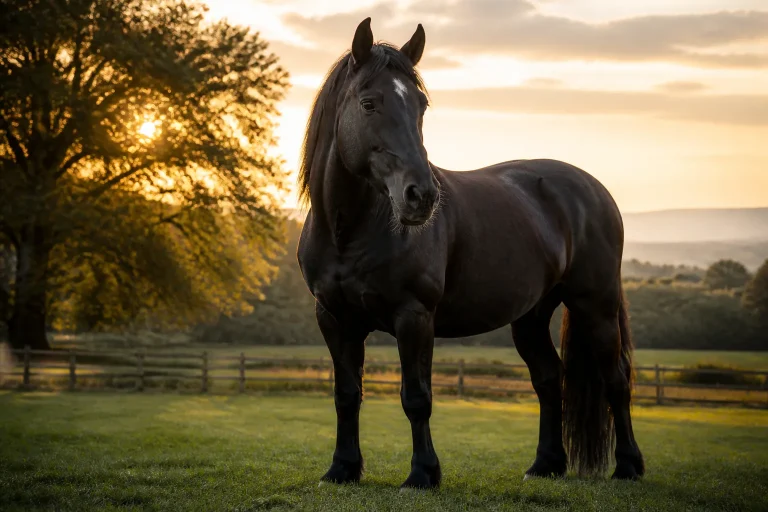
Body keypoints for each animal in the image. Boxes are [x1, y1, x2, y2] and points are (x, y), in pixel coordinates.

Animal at [297, 18, 644, 489]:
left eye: (421, 106)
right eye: (369, 104)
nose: (421, 196)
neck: (348, 233)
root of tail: (592, 189)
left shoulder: (414, 316)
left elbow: (417, 397)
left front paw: (422, 474)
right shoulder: (334, 318)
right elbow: (347, 394)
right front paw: (342, 469)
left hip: (596, 306)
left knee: (616, 380)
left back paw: (628, 466)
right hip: (531, 316)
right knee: (548, 378)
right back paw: (545, 464)